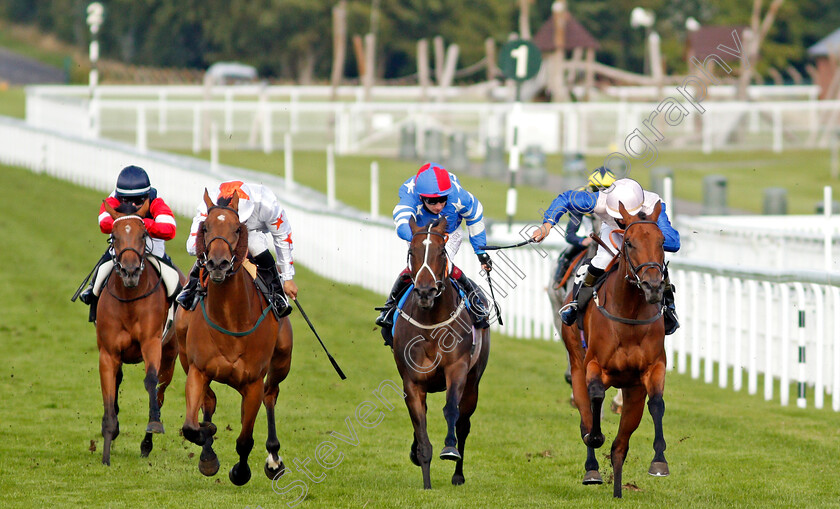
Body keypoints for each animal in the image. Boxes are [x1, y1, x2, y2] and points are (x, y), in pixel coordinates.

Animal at [94, 198, 173, 464]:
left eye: (143, 234)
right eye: (114, 236)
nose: (130, 271)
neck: (129, 299)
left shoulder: (151, 342)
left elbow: (150, 381)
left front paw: (154, 425)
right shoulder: (108, 353)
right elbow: (108, 395)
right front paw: (106, 452)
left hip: (171, 354)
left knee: (161, 389)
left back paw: (147, 442)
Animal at [159, 190, 294, 484]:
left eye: (236, 229)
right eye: (206, 228)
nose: (218, 264)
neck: (231, 319)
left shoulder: (252, 383)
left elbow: (245, 439)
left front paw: (241, 471)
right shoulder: (198, 369)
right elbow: (192, 426)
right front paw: (207, 441)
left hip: (282, 361)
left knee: (270, 395)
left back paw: (273, 459)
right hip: (185, 357)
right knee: (210, 400)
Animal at [394, 217, 492, 488]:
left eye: (441, 252)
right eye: (411, 251)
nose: (425, 292)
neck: (431, 324)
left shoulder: (456, 369)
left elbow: (450, 409)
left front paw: (449, 449)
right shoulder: (412, 381)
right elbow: (420, 426)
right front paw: (426, 482)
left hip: (473, 383)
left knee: (463, 423)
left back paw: (458, 474)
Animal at [560, 200, 672, 498]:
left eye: (662, 241)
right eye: (630, 242)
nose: (653, 286)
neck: (629, 313)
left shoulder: (653, 369)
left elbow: (657, 403)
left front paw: (659, 462)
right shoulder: (594, 365)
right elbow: (596, 398)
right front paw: (596, 438)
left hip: (632, 392)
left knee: (620, 446)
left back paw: (619, 490)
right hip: (576, 365)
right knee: (586, 418)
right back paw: (592, 469)